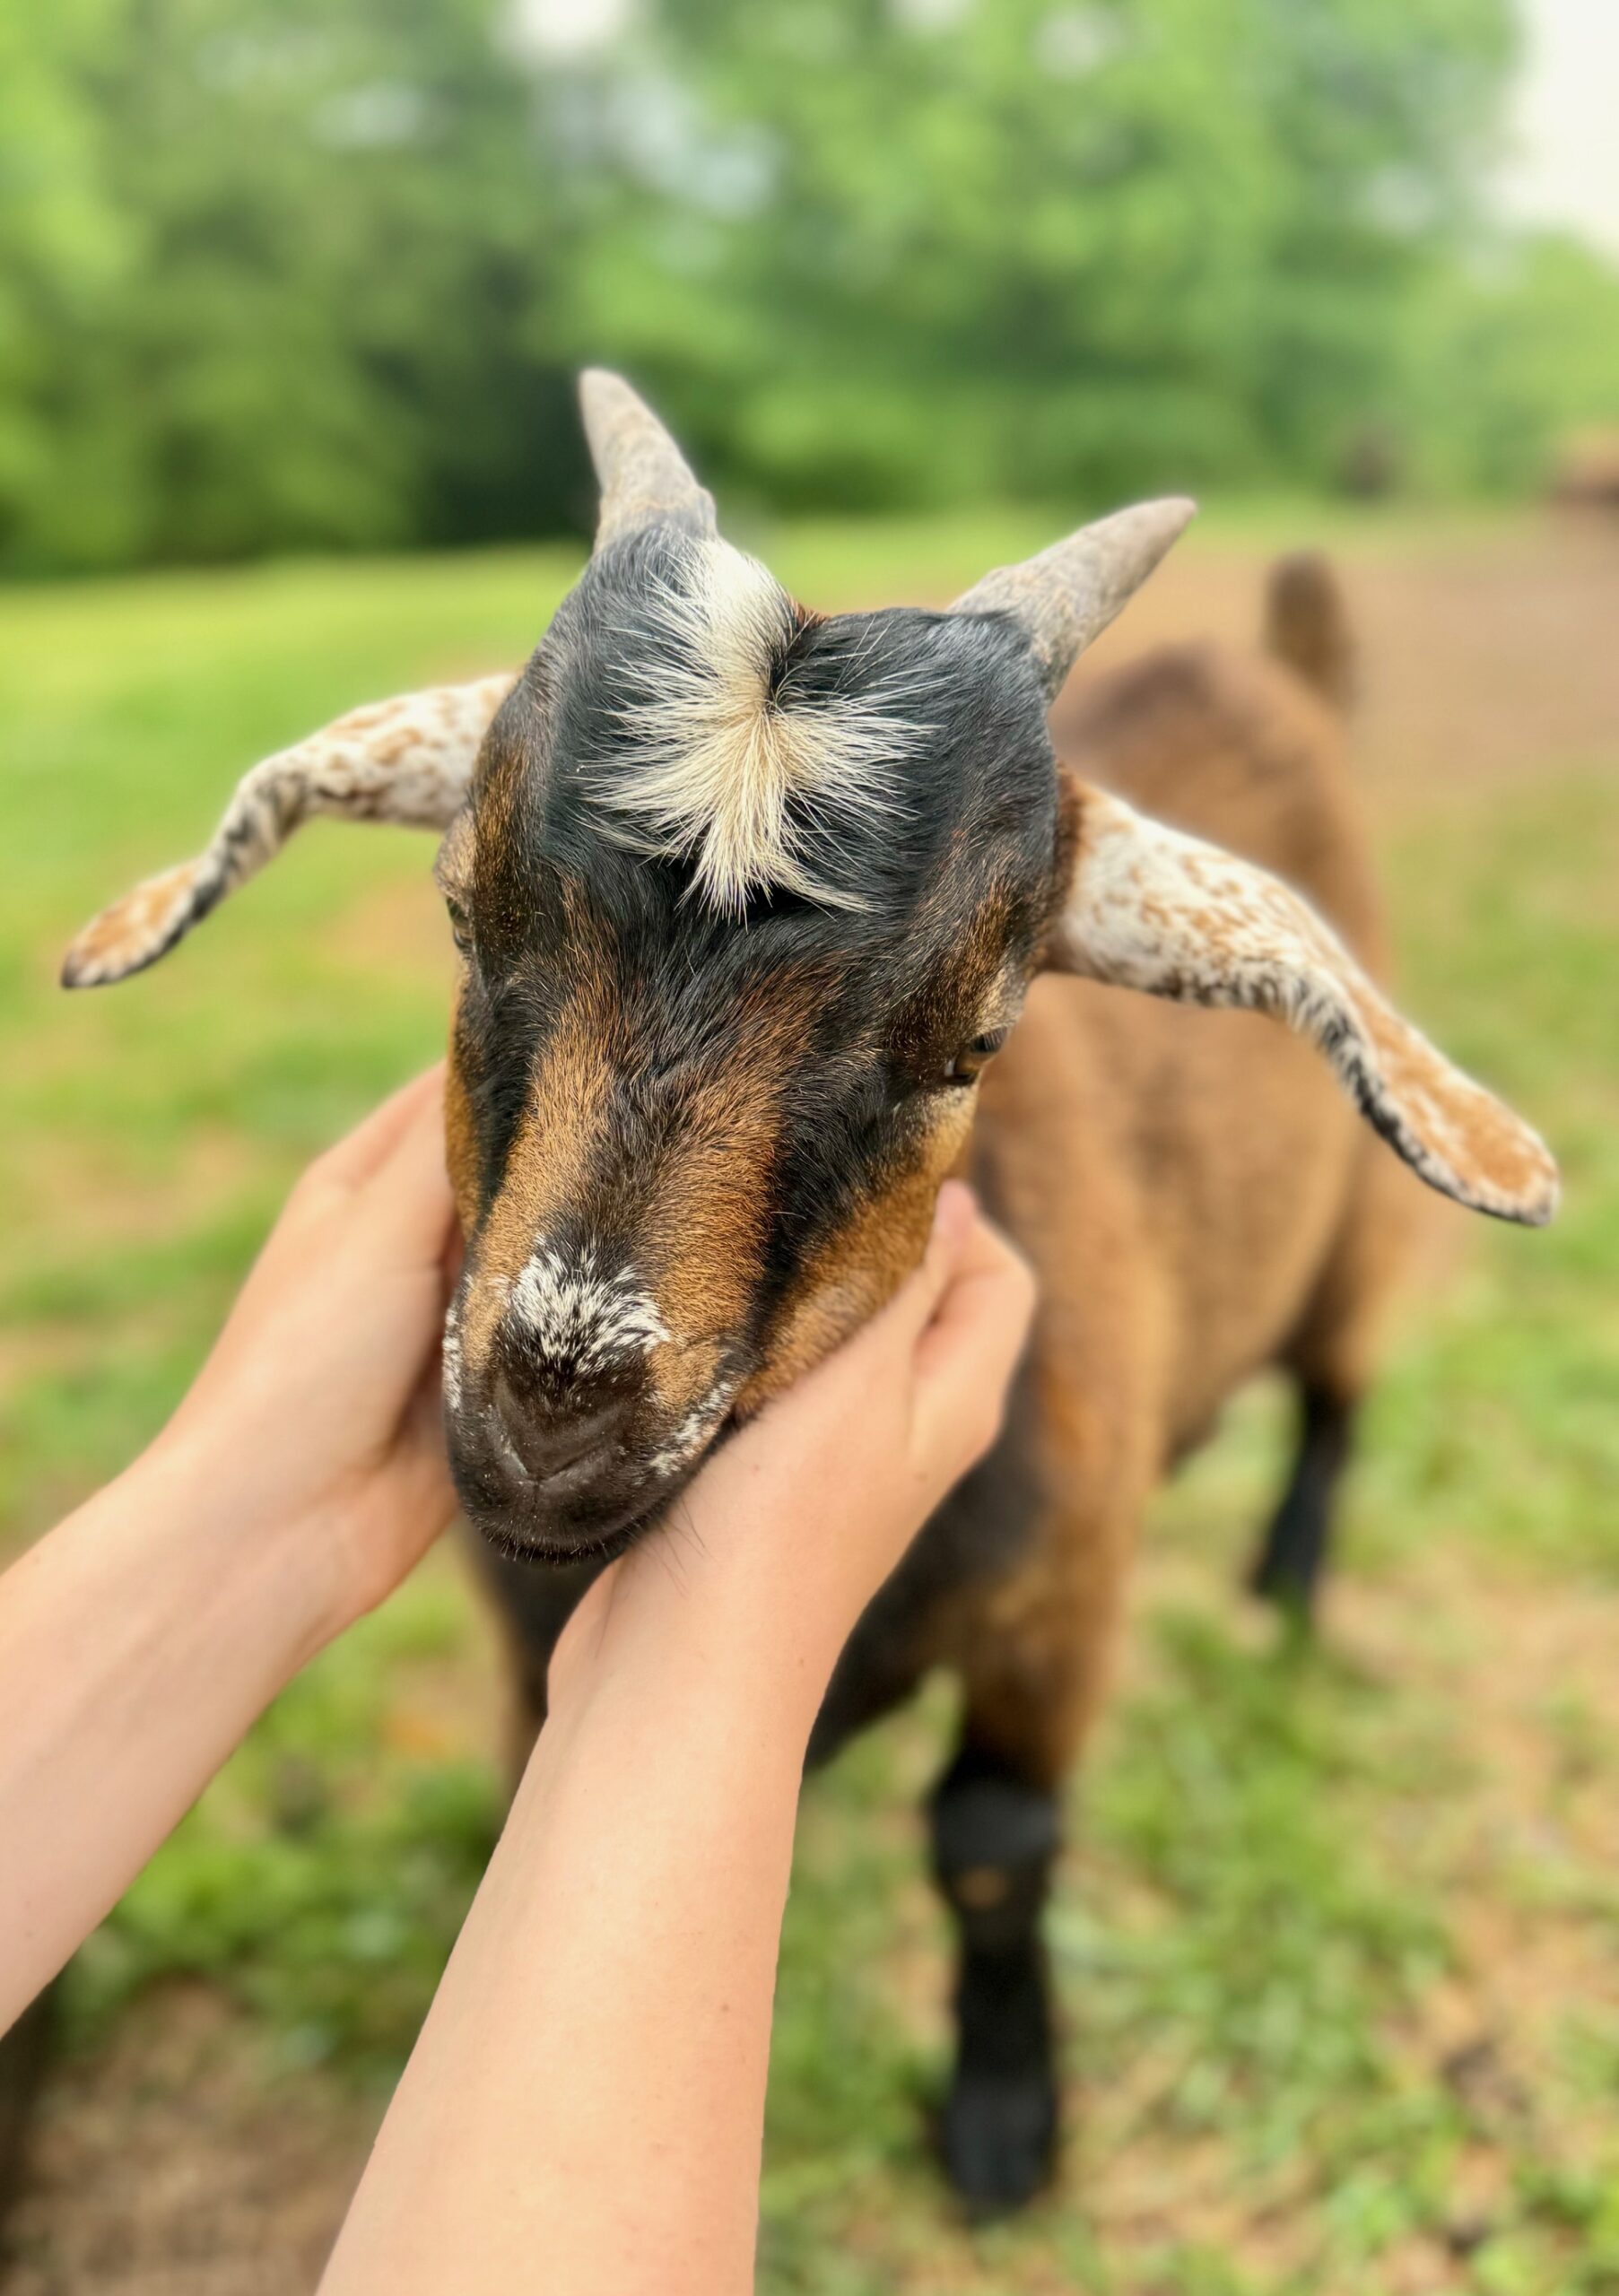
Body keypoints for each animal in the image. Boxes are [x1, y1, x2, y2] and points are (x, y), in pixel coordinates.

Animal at [65, 380, 1552, 2222]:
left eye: (973, 1040)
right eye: (462, 918)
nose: (553, 1423)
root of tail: (1277, 665)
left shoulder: (1068, 1591)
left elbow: (991, 1847)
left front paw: (1003, 2123)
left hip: (1350, 1248)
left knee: (1338, 1397)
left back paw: (1283, 1583)